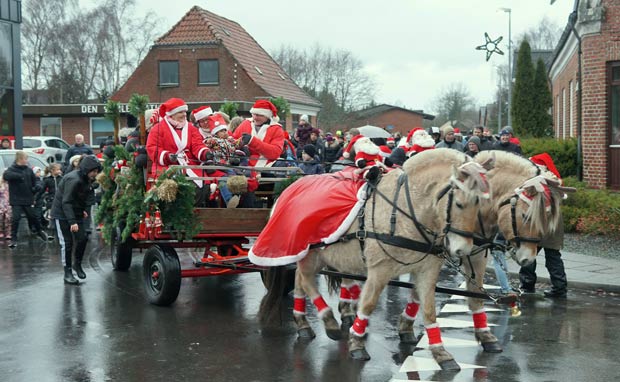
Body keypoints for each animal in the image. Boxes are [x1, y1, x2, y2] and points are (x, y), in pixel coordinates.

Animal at [256, 148, 494, 368]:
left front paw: (440, 352)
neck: (405, 210)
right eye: (460, 204)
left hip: (310, 253)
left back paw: (303, 322)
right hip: (310, 252)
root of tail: (289, 186)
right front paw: (357, 342)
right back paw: (329, 321)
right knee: (306, 279)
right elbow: (368, 304)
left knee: (299, 279)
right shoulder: (380, 270)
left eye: (480, 203)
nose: (463, 249)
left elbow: (428, 309)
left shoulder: (426, 270)